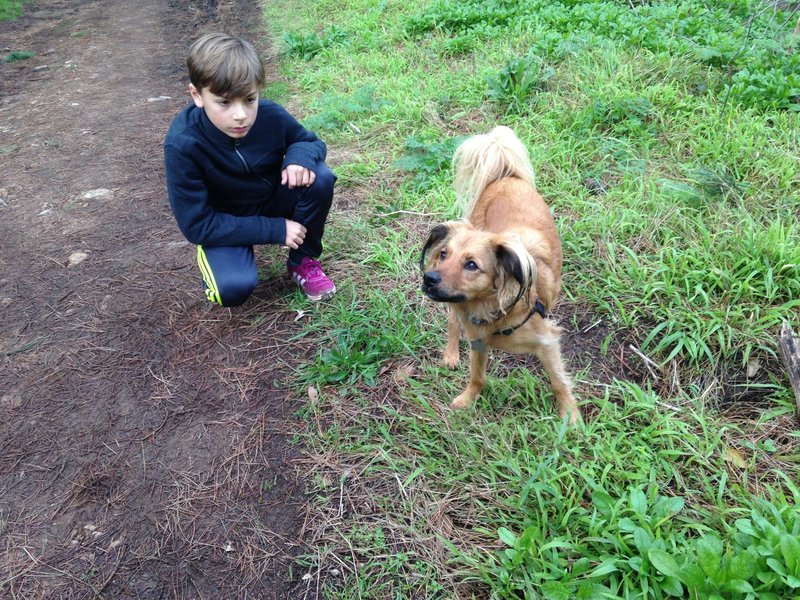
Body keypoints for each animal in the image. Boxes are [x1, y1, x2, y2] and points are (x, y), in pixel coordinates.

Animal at [418, 126, 580, 424]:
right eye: (444, 254)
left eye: (472, 265)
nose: (429, 278)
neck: (492, 310)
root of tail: (506, 176)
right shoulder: (478, 342)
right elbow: (477, 377)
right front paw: (468, 399)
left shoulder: (547, 341)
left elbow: (558, 381)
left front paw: (569, 416)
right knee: (451, 321)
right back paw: (450, 353)